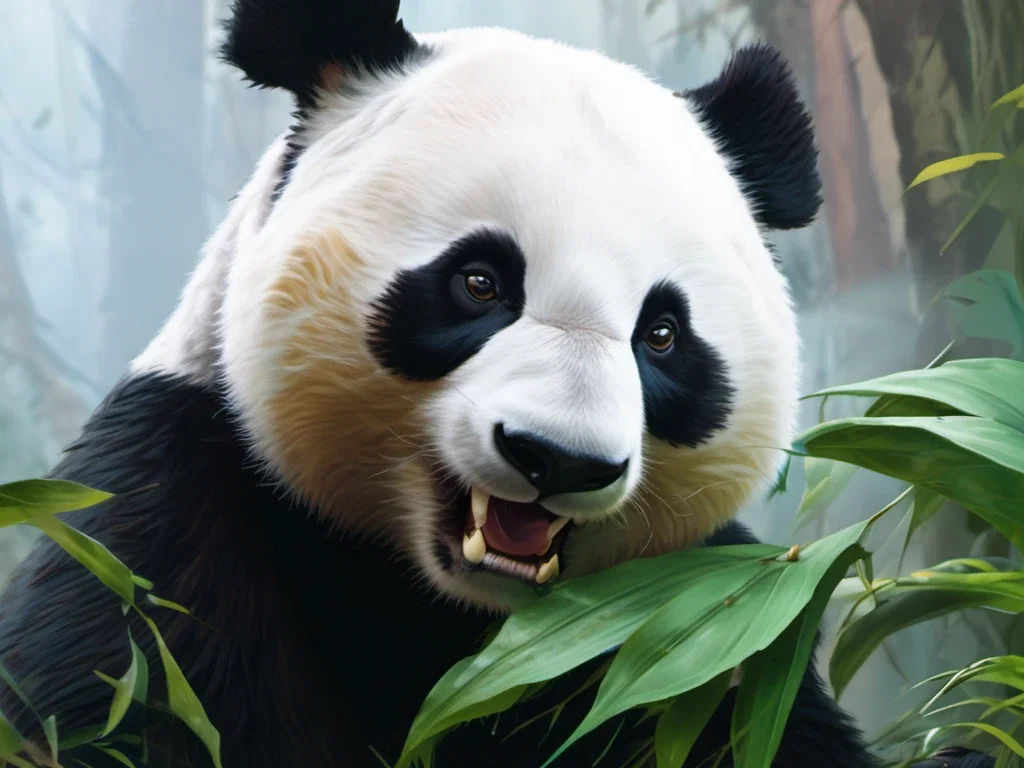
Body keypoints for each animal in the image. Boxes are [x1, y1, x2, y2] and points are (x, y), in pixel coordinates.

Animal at [0, 2, 994, 767]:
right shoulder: (173, 512)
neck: (451, 607)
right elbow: (107, 686)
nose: (559, 459)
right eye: (480, 282)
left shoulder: (691, 619)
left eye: (662, 335)